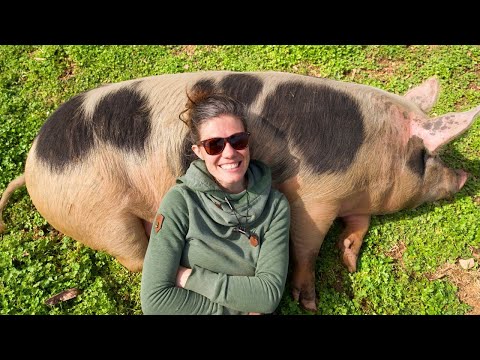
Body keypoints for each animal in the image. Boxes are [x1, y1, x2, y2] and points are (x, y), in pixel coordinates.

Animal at [1, 71, 478, 312]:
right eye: (427, 155)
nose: (462, 178)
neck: (373, 151)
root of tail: (31, 166)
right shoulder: (315, 196)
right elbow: (306, 245)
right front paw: (308, 302)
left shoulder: (354, 200)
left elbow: (357, 225)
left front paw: (349, 259)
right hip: (101, 218)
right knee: (135, 258)